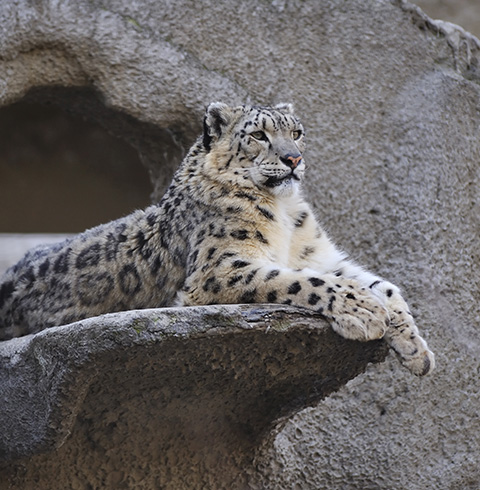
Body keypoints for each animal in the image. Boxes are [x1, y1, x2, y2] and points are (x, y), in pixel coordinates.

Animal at [0, 102, 434, 376]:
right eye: (258, 135)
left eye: (297, 132)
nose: (293, 158)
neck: (285, 213)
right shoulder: (221, 267)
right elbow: (302, 281)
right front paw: (363, 312)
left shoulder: (319, 255)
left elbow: (383, 285)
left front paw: (416, 351)